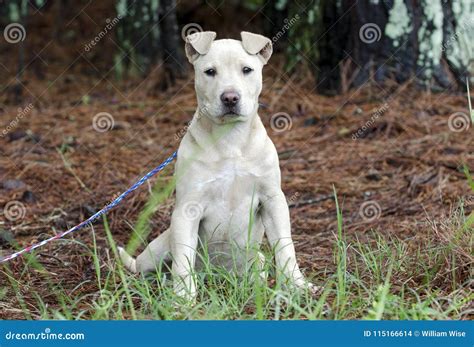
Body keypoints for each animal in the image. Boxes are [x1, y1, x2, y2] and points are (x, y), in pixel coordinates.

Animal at [119, 31, 314, 300]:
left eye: (247, 70)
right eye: (210, 72)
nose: (230, 98)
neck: (230, 139)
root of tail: (219, 275)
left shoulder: (273, 199)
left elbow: (285, 246)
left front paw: (297, 286)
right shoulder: (187, 209)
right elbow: (183, 259)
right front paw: (184, 298)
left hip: (254, 257)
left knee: (261, 263)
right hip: (158, 248)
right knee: (146, 264)